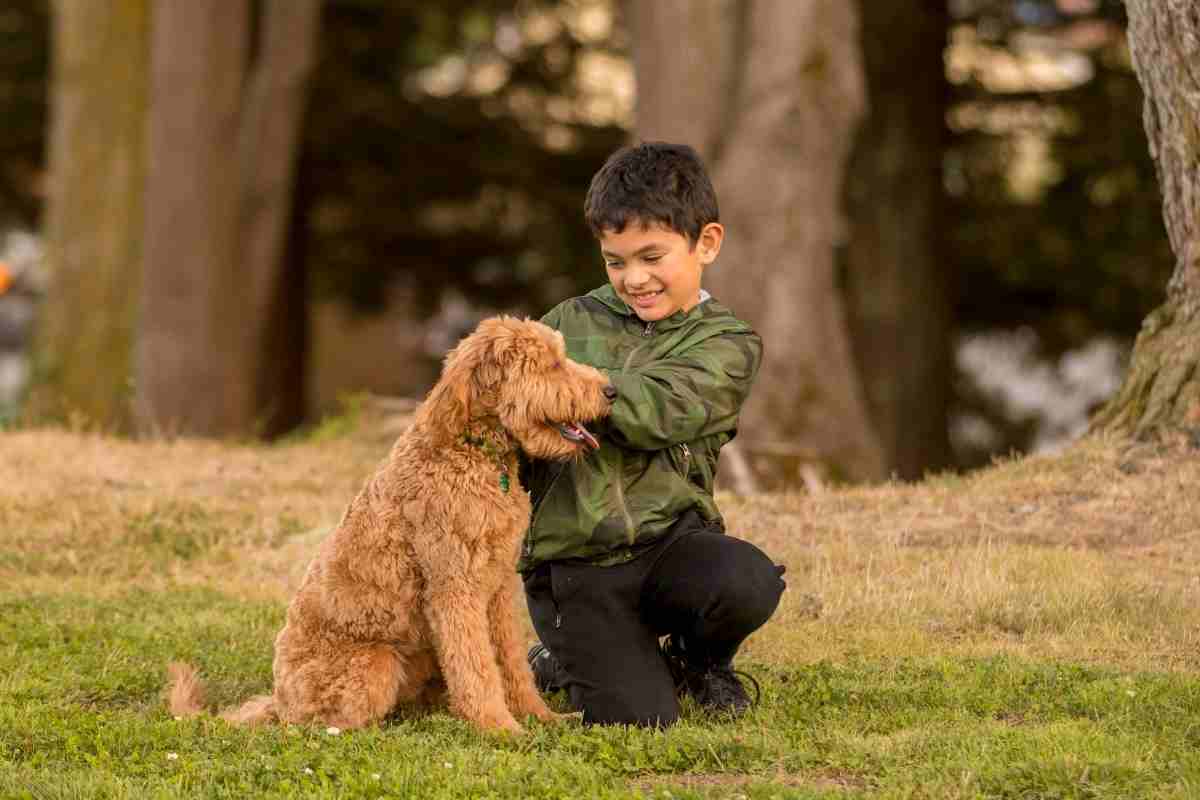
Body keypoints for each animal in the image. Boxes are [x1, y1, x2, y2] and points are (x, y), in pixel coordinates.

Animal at [166, 316, 619, 734]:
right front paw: (499, 727)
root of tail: (279, 701)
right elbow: (477, 667)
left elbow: (510, 662)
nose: (611, 391)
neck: (474, 455)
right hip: (376, 663)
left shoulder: (500, 589)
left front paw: (540, 717)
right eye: (553, 364)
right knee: (328, 725)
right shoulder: (454, 588)